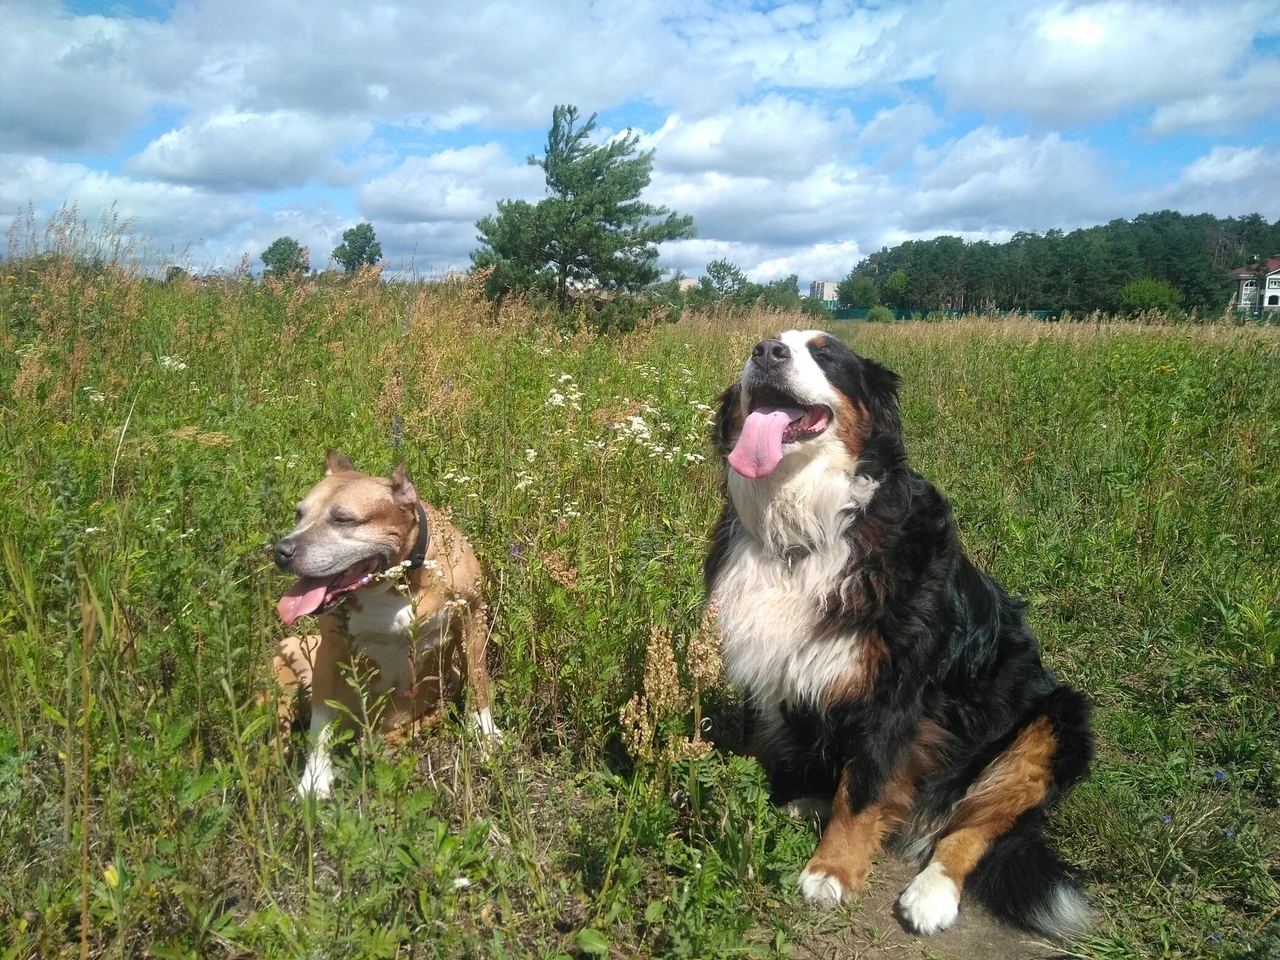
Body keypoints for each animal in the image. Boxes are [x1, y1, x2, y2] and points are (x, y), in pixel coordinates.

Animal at [272, 450, 496, 798]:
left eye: (343, 519)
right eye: (299, 514)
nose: (281, 550)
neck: (397, 580)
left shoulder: (472, 617)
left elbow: (479, 681)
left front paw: (485, 735)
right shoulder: (330, 650)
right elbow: (321, 721)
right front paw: (315, 779)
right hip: (288, 655)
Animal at [706, 330, 1095, 942]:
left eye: (826, 353)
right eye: (763, 345)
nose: (767, 352)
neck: (807, 528)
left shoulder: (895, 691)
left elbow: (865, 785)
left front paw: (831, 871)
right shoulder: (764, 661)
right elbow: (754, 748)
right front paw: (721, 795)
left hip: (1051, 723)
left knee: (972, 824)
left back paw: (932, 892)